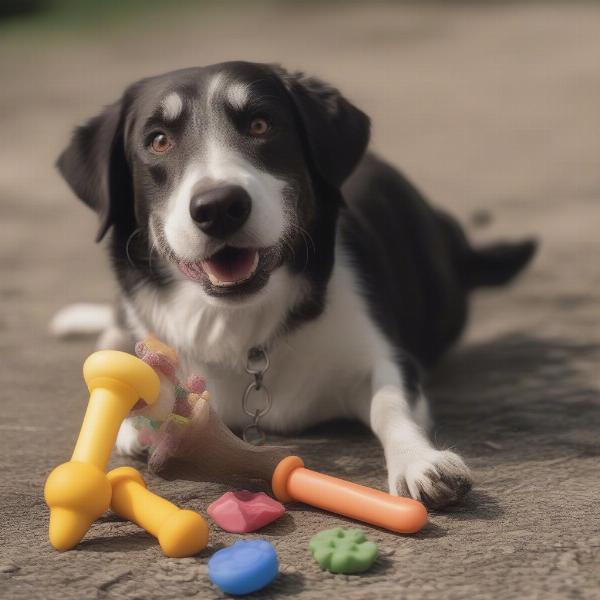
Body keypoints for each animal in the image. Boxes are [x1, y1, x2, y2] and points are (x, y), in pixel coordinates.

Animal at [56, 63, 536, 508]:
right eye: (158, 140)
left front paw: (419, 461)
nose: (219, 207)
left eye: (260, 125)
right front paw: (138, 421)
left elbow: (390, 403)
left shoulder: (384, 356)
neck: (239, 324)